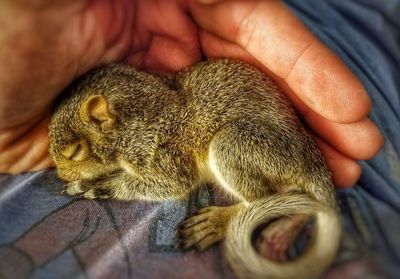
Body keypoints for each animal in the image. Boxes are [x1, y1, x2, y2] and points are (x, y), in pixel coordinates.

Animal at [47, 59, 340, 279]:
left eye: (75, 151)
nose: (60, 174)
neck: (138, 119)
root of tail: (310, 158)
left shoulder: (158, 152)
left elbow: (170, 184)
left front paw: (96, 185)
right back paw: (284, 230)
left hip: (235, 145)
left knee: (264, 196)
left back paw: (218, 223)